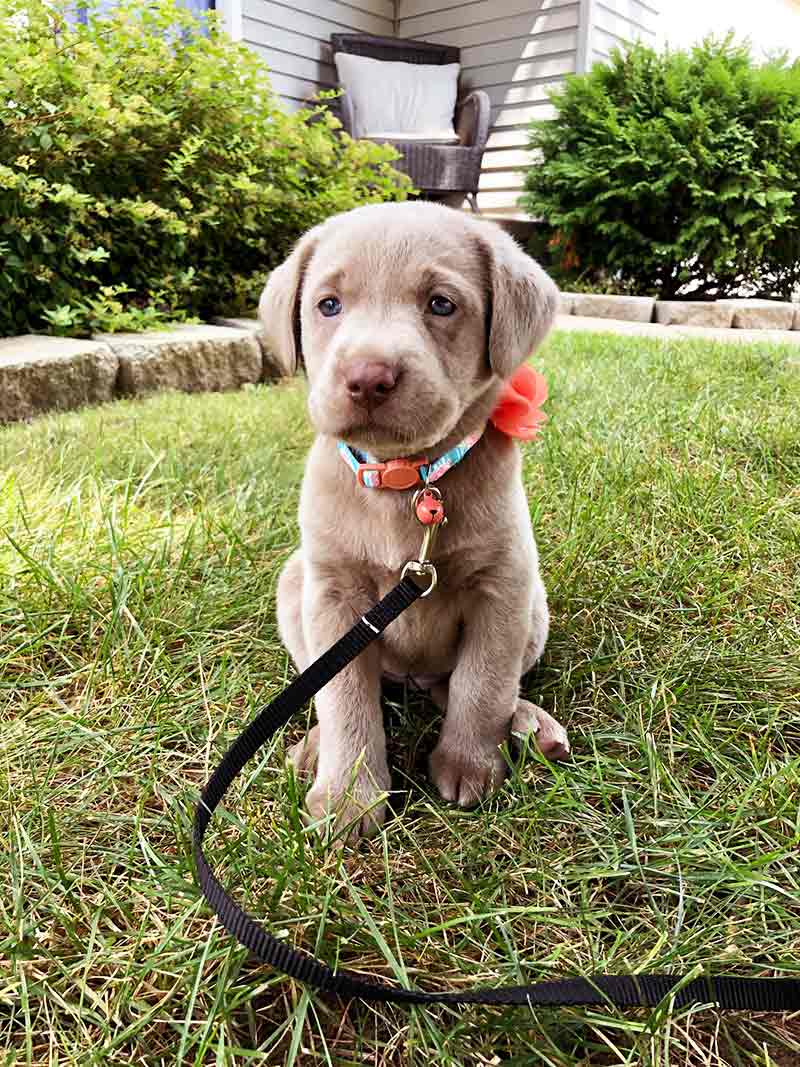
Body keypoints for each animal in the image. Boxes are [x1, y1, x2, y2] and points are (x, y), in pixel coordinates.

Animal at [261, 196, 571, 836]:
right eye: (328, 305)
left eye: (441, 304)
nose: (367, 378)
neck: (407, 484)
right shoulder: (335, 597)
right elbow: (345, 698)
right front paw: (350, 798)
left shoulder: (502, 587)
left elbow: (483, 684)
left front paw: (470, 767)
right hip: (294, 586)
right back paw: (314, 748)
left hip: (534, 608)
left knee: (459, 687)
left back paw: (531, 723)